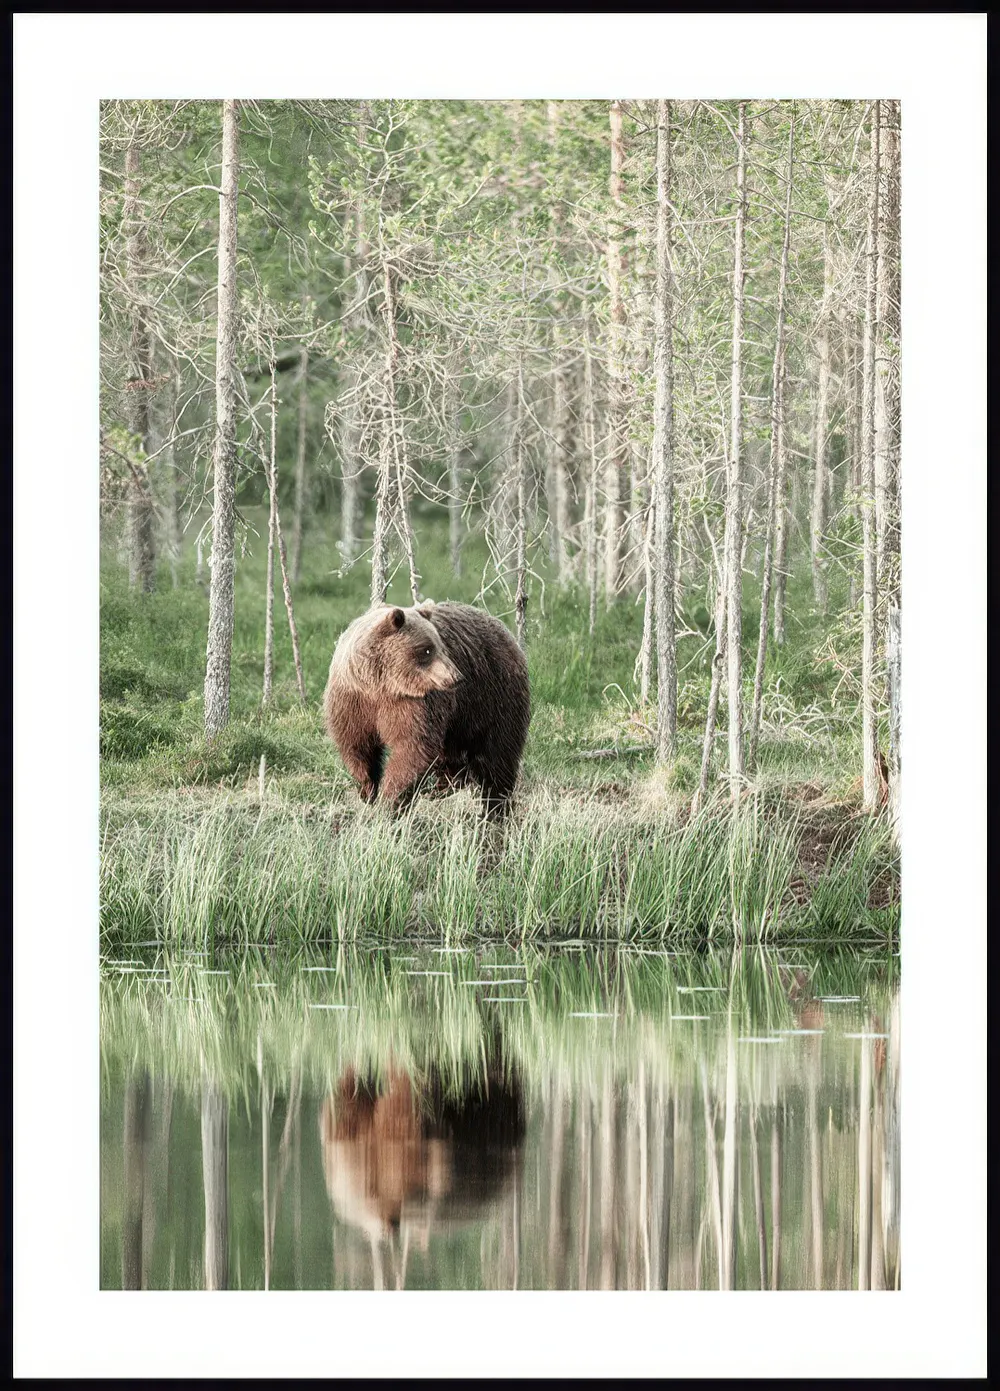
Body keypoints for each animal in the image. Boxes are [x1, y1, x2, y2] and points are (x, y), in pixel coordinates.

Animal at [323, 599, 531, 820]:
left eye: (441, 647)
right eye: (427, 650)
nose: (457, 677)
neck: (380, 685)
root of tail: (505, 631)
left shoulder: (414, 705)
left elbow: (412, 747)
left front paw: (391, 799)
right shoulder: (352, 700)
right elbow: (356, 743)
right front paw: (368, 790)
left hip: (492, 698)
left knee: (497, 755)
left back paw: (495, 806)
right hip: (461, 718)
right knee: (453, 756)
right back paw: (443, 787)